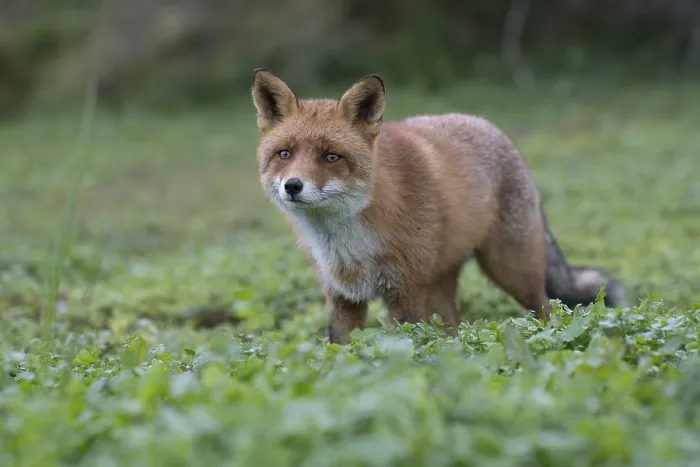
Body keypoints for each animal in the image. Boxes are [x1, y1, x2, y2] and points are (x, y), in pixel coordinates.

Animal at [250, 68, 626, 344]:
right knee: (452, 331)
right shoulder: (343, 297)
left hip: (511, 270)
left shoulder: (406, 291)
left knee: (550, 308)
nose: (293, 186)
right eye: (284, 154)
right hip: (442, 285)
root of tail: (491, 126)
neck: (348, 240)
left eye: (331, 157)